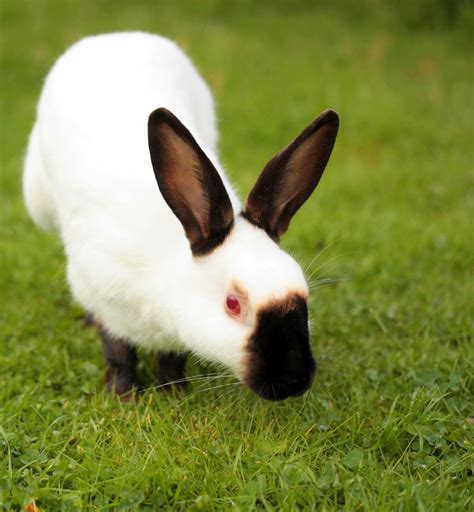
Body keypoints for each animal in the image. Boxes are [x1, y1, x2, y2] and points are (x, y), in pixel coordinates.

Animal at [24, 32, 338, 402]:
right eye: (232, 304)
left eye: (304, 291)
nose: (294, 382)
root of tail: (115, 36)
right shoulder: (106, 302)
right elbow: (119, 354)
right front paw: (122, 396)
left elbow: (171, 359)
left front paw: (173, 392)